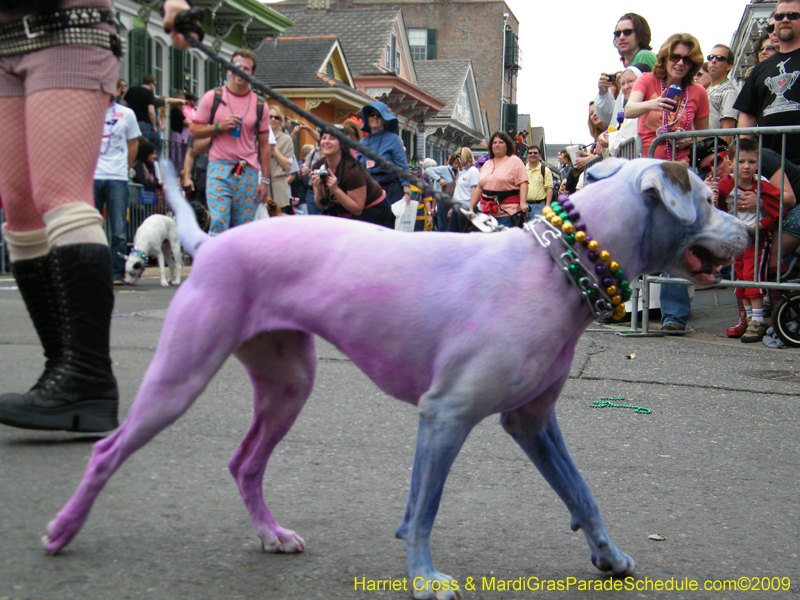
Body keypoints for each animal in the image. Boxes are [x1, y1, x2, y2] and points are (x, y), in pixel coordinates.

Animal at [45, 157, 752, 596]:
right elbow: (425, 509)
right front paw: (423, 578)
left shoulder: (530, 421)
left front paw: (607, 556)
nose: (748, 228)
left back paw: (271, 535)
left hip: (288, 385)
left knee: (244, 464)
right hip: (180, 378)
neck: (558, 265)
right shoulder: (446, 415)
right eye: (708, 199)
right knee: (109, 450)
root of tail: (213, 242)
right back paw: (64, 530)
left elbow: (582, 493)